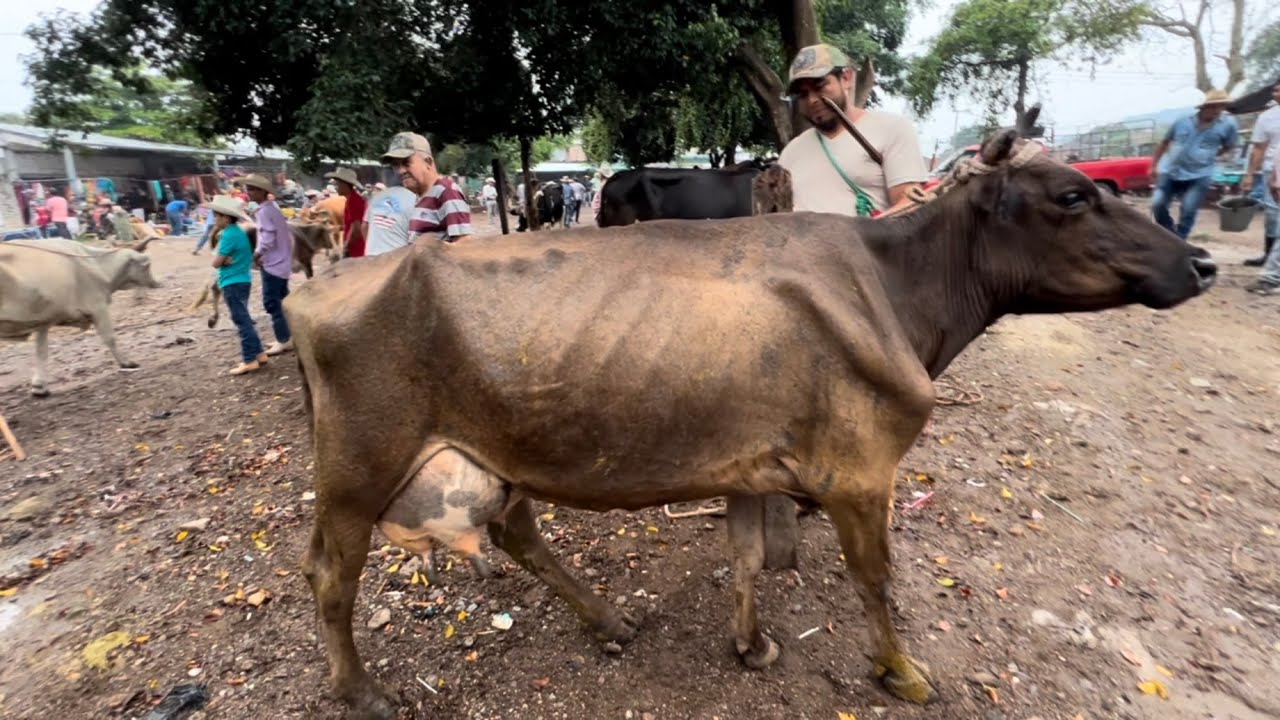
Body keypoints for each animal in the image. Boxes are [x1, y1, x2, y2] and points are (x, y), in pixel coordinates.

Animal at [0, 237, 161, 397]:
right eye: (147, 266)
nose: (157, 283)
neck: (95, 263)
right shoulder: (98, 306)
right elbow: (110, 338)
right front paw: (127, 363)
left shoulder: (43, 320)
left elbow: (41, 351)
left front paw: (39, 387)